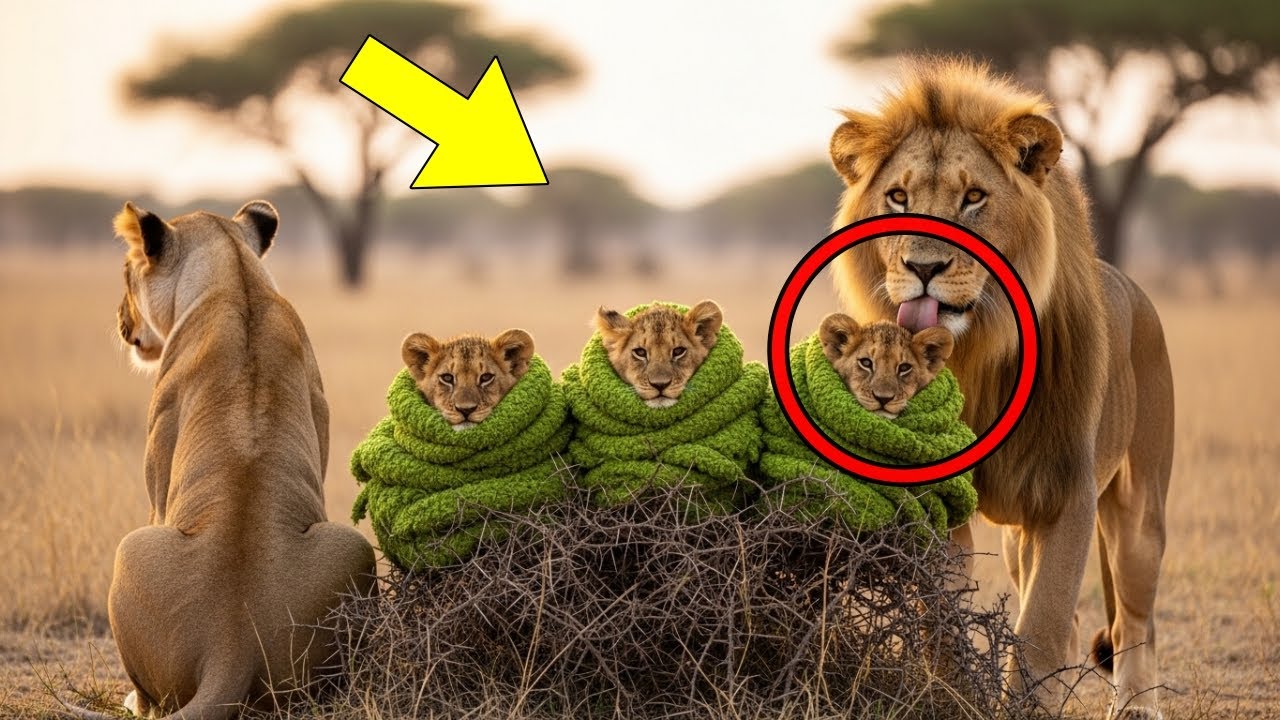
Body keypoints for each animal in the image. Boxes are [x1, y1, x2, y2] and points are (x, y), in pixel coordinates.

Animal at [89, 201, 377, 719]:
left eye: (125, 273)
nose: (121, 318)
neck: (236, 276)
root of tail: (231, 645)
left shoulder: (158, 463)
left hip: (130, 546)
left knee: (151, 701)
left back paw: (131, 700)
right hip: (353, 546)